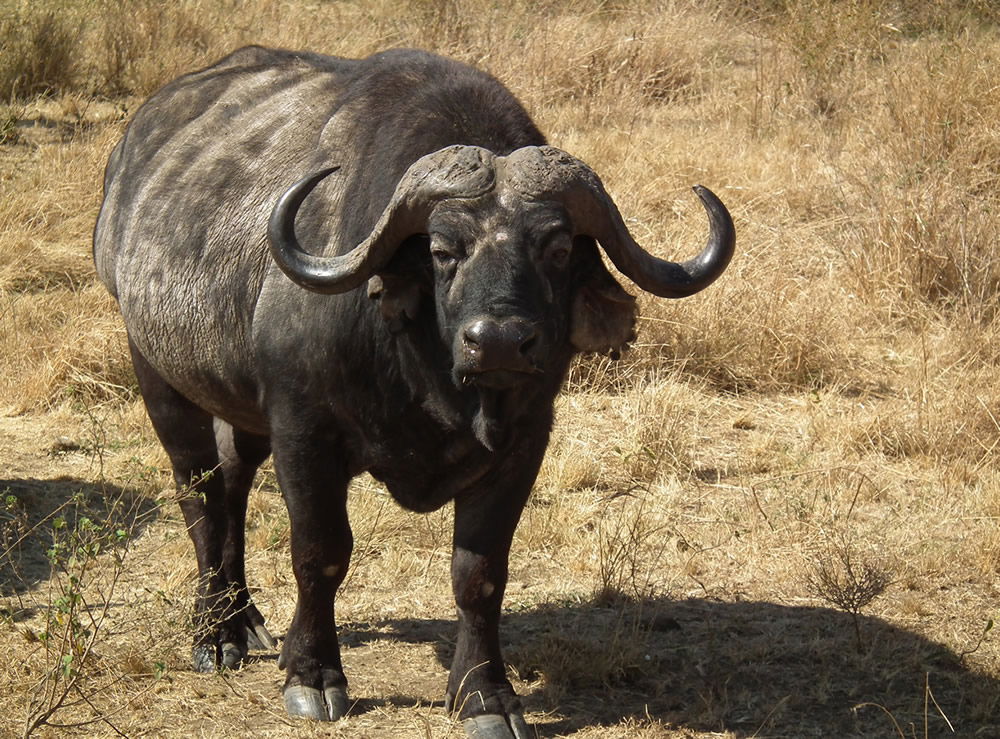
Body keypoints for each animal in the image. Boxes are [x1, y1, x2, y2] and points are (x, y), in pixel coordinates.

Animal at [94, 47, 736, 739]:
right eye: (441, 249)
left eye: (559, 247)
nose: (499, 342)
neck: (427, 377)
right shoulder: (304, 432)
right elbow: (320, 553)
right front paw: (312, 674)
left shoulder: (523, 444)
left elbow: (480, 574)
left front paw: (486, 694)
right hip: (157, 372)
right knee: (202, 492)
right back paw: (214, 634)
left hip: (238, 404)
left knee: (234, 481)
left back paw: (245, 620)